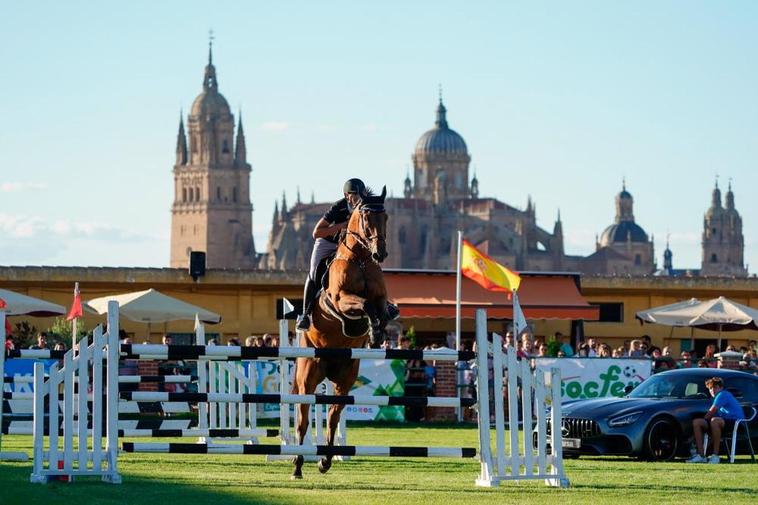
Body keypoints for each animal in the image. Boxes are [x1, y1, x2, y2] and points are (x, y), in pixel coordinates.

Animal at [292, 187, 392, 478]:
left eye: (385, 217)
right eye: (366, 218)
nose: (380, 253)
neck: (360, 259)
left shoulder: (382, 298)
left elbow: (382, 310)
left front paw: (377, 334)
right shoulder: (340, 300)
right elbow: (364, 305)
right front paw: (373, 331)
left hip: (345, 377)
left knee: (334, 415)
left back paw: (325, 461)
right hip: (308, 376)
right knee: (303, 419)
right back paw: (298, 465)